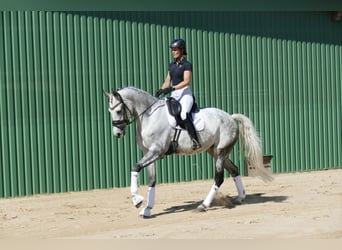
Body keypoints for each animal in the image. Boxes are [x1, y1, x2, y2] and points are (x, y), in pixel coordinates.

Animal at [103, 87, 272, 218]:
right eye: (110, 111)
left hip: (220, 152)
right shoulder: (149, 153)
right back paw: (240, 198)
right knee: (234, 170)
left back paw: (203, 205)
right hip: (216, 152)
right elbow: (152, 180)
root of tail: (229, 117)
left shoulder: (157, 152)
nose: (117, 133)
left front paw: (137, 200)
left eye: (118, 110)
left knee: (219, 178)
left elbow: (135, 167)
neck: (149, 116)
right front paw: (147, 209)